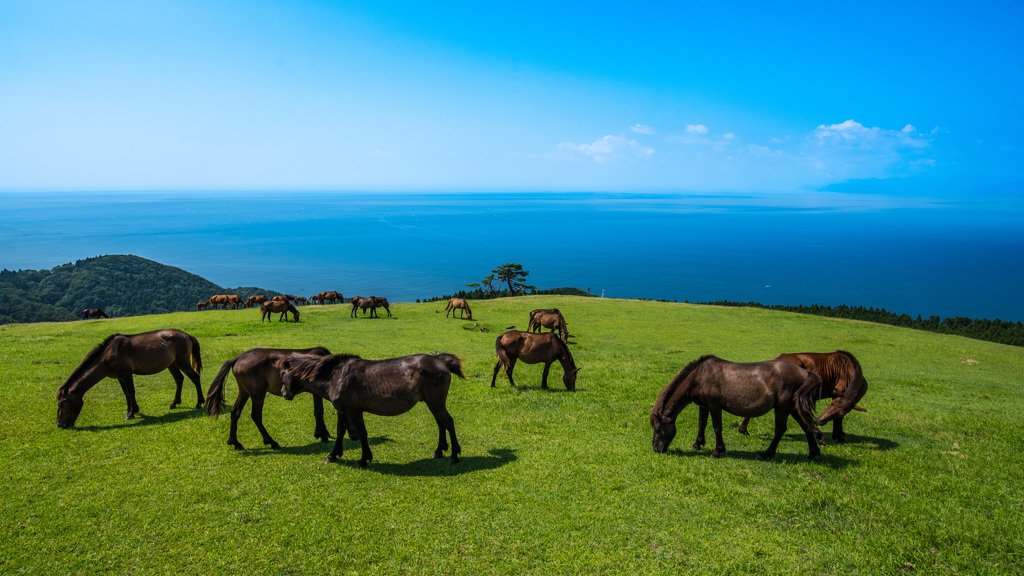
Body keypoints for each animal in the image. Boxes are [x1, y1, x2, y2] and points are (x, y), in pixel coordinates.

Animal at [56, 327, 203, 426]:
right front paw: (130, 410)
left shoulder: (127, 373)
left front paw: (131, 413)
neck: (108, 354)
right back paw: (174, 403)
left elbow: (131, 391)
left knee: (195, 378)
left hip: (183, 363)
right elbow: (126, 393)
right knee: (179, 379)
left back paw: (199, 403)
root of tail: (187, 335)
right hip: (172, 364)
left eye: (62, 404)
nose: (60, 425)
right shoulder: (119, 376)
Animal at [205, 344, 333, 448]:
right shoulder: (316, 392)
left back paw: (234, 442)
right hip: (258, 394)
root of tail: (238, 357)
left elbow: (320, 411)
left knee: (235, 412)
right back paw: (271, 441)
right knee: (256, 416)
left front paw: (324, 432)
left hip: (244, 392)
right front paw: (321, 435)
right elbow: (318, 412)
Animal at [284, 350, 468, 467]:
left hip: (435, 403)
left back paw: (454, 456)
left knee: (448, 422)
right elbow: (340, 432)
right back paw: (439, 451)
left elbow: (362, 433)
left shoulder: (354, 411)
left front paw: (364, 459)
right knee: (441, 424)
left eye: (283, 374)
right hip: (433, 403)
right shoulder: (342, 411)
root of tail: (441, 361)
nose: (285, 393)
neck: (336, 376)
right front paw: (333, 455)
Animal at [647, 352, 823, 459]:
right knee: (806, 426)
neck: (699, 375)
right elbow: (701, 424)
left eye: (657, 430)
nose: (656, 449)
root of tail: (804, 372)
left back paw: (767, 453)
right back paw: (813, 452)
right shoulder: (703, 406)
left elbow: (717, 428)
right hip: (793, 408)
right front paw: (698, 444)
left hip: (782, 408)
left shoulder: (714, 406)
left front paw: (718, 451)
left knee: (780, 430)